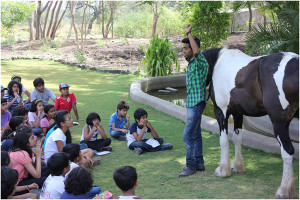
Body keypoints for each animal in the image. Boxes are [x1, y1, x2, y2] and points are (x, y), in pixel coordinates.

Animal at [203, 47, 298, 198]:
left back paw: (284, 191)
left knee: (287, 152)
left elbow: (223, 140)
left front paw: (223, 170)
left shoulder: (221, 112)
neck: (219, 62)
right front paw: (237, 166)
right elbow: (237, 138)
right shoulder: (237, 113)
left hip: (279, 123)